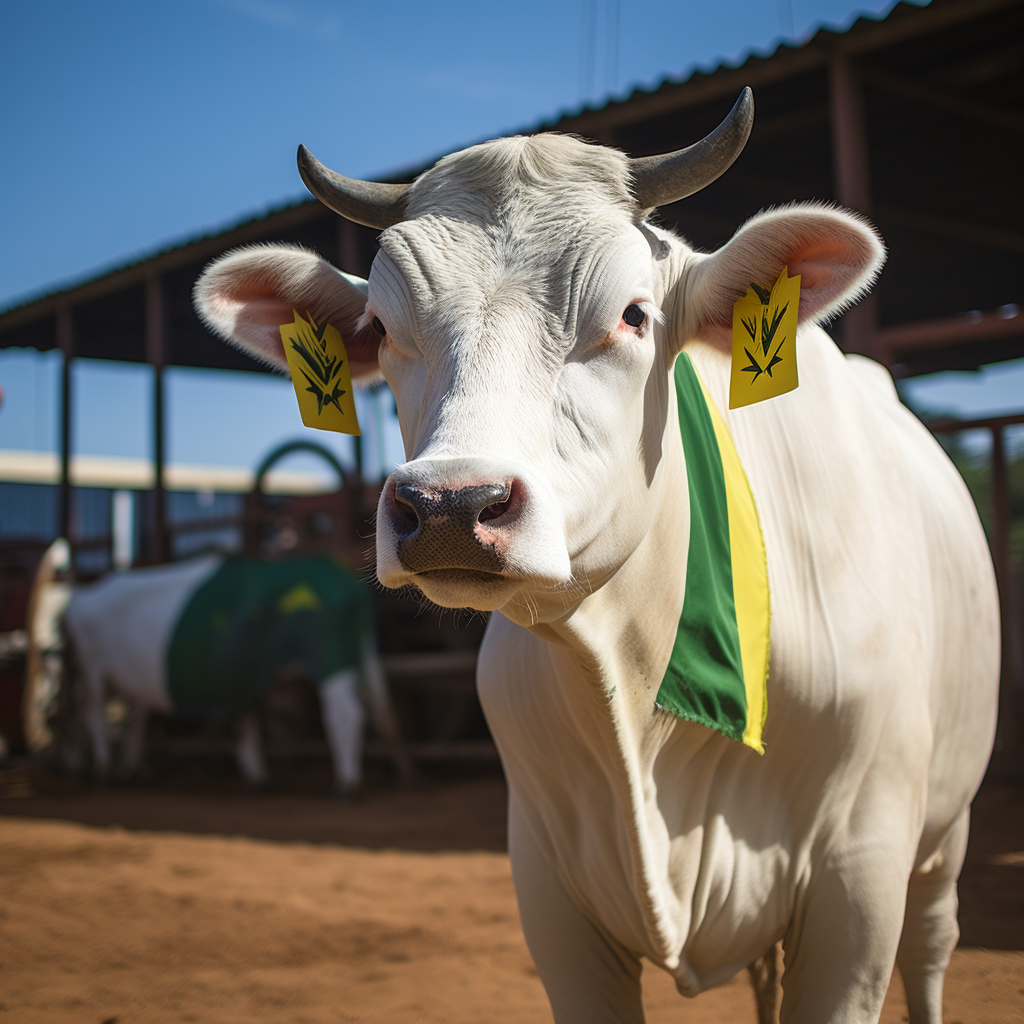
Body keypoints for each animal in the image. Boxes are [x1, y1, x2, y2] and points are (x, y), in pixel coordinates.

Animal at [193, 90, 999, 1024]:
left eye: (634, 315)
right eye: (382, 329)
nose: (450, 506)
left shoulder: (858, 885)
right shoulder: (551, 895)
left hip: (944, 839)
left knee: (931, 955)